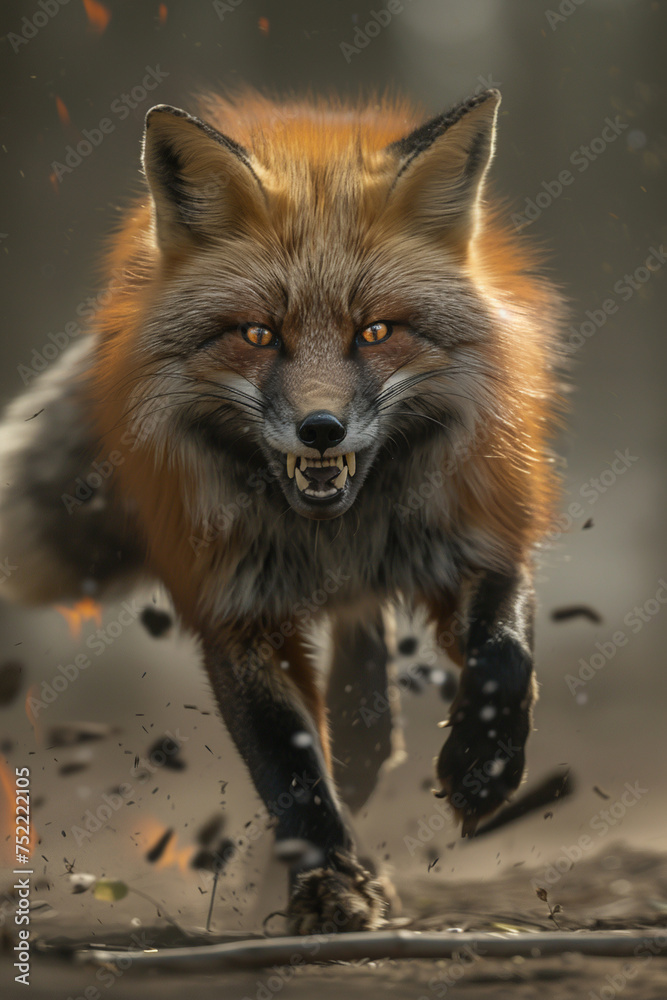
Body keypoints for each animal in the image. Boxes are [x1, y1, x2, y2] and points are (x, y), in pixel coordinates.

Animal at [0, 87, 564, 933]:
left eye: (375, 331)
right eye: (259, 334)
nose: (320, 429)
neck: (335, 533)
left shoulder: (480, 533)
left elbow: (503, 655)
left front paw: (481, 768)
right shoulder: (233, 605)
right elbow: (290, 772)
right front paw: (326, 887)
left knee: (363, 702)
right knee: (350, 721)